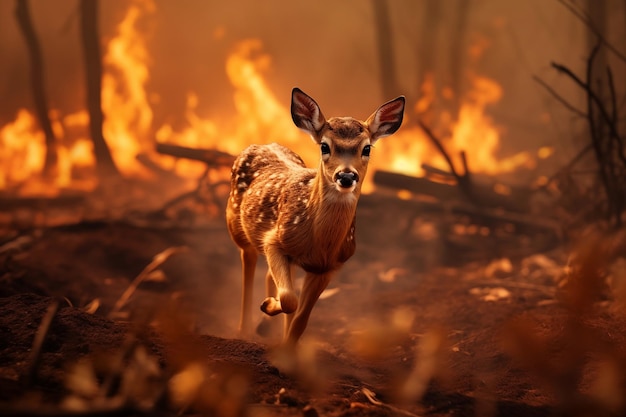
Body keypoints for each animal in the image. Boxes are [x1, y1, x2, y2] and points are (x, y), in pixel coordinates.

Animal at [224, 88, 404, 344]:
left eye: (367, 148)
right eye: (324, 146)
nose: (346, 176)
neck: (321, 243)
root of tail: (261, 144)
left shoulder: (328, 266)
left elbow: (300, 319)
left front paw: (286, 349)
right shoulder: (273, 241)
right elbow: (289, 299)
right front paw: (267, 307)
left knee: (270, 276)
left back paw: (267, 328)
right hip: (236, 226)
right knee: (248, 265)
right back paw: (246, 329)